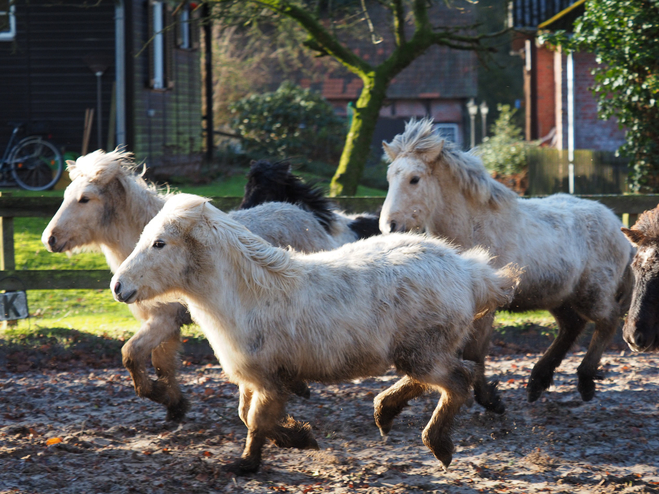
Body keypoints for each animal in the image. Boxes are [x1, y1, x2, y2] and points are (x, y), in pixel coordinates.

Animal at [112, 193, 520, 474]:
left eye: (159, 243)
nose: (118, 286)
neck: (247, 293)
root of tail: (472, 273)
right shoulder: (256, 378)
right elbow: (249, 415)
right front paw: (299, 437)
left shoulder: (268, 379)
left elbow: (256, 420)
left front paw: (248, 464)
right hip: (418, 351)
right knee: (446, 376)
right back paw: (386, 412)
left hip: (424, 351)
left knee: (458, 381)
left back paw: (437, 444)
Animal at [382, 118, 636, 406]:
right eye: (389, 178)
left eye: (414, 179)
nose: (389, 226)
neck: (475, 227)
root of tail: (618, 228)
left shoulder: (486, 307)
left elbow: (474, 353)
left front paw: (490, 400)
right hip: (558, 296)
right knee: (572, 326)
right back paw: (538, 381)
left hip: (592, 294)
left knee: (608, 321)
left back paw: (584, 381)